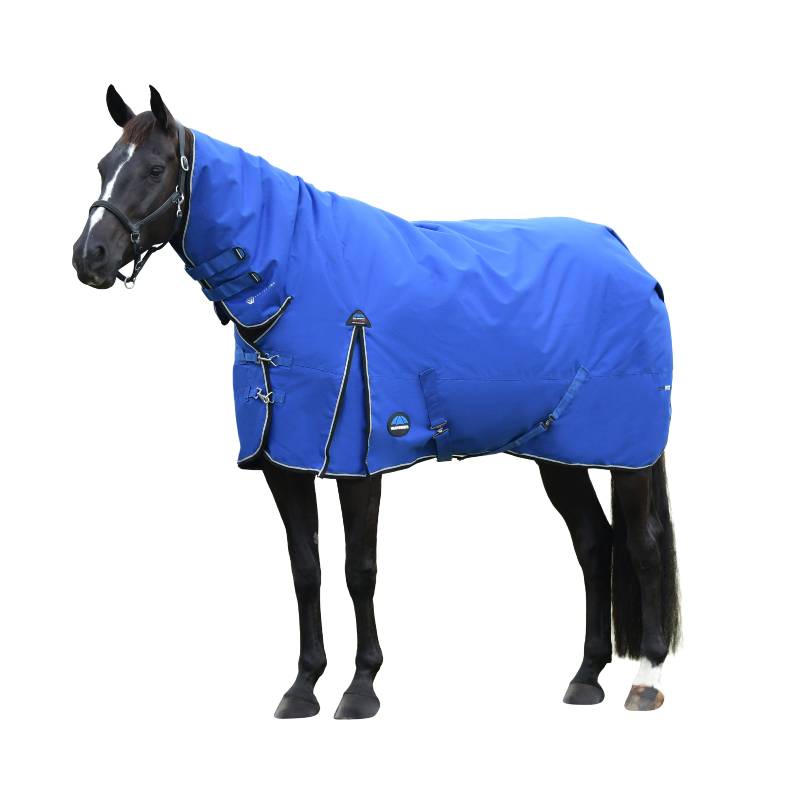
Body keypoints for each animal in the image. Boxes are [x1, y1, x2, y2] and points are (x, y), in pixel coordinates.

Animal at [72, 85, 680, 717]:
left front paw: (361, 687)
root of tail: (630, 260)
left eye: (155, 169)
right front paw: (303, 686)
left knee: (642, 545)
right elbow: (306, 570)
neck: (296, 282)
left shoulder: (356, 460)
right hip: (558, 451)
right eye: (103, 166)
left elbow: (358, 569)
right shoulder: (284, 462)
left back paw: (646, 680)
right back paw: (586, 677)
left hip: (627, 453)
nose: (89, 257)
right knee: (594, 543)